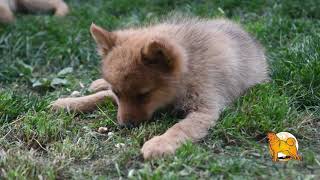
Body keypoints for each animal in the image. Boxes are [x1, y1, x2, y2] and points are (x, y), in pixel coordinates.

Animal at [52, 15, 268, 159]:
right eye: (118, 92)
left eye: (144, 94)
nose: (125, 126)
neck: (188, 70)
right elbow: (103, 96)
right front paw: (69, 103)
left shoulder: (204, 109)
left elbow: (180, 128)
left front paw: (160, 143)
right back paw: (97, 83)